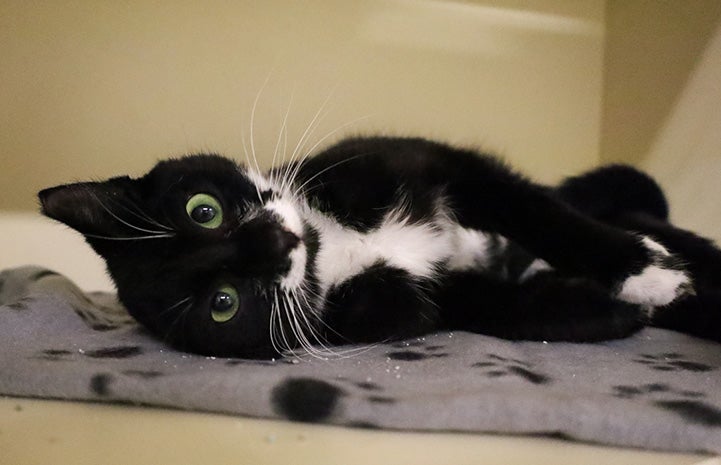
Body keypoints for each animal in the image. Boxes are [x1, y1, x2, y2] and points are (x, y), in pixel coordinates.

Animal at [38, 136, 720, 358]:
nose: (275, 241)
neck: (336, 247)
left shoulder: (437, 164)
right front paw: (610, 308)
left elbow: (536, 211)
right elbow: (487, 304)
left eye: (202, 211)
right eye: (223, 304)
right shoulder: (402, 304)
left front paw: (642, 272)